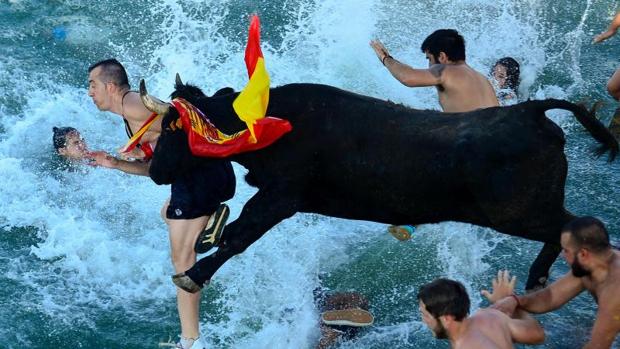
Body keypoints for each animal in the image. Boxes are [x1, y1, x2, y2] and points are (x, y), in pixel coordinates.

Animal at [143, 80, 616, 290]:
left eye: (171, 131)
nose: (155, 172)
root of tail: (531, 111)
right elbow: (236, 230)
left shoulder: (282, 197)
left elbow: (240, 236)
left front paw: (194, 274)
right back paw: (537, 277)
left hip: (519, 211)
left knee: (574, 225)